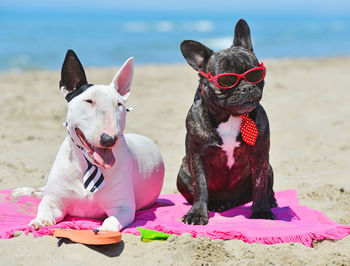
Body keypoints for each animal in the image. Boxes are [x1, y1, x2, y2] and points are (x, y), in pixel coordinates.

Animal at [10, 49, 164, 231]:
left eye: (119, 104)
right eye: (89, 100)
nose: (109, 139)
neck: (88, 164)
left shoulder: (123, 206)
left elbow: (112, 219)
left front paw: (106, 229)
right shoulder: (55, 200)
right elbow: (45, 206)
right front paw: (40, 220)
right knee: (43, 190)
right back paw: (23, 191)